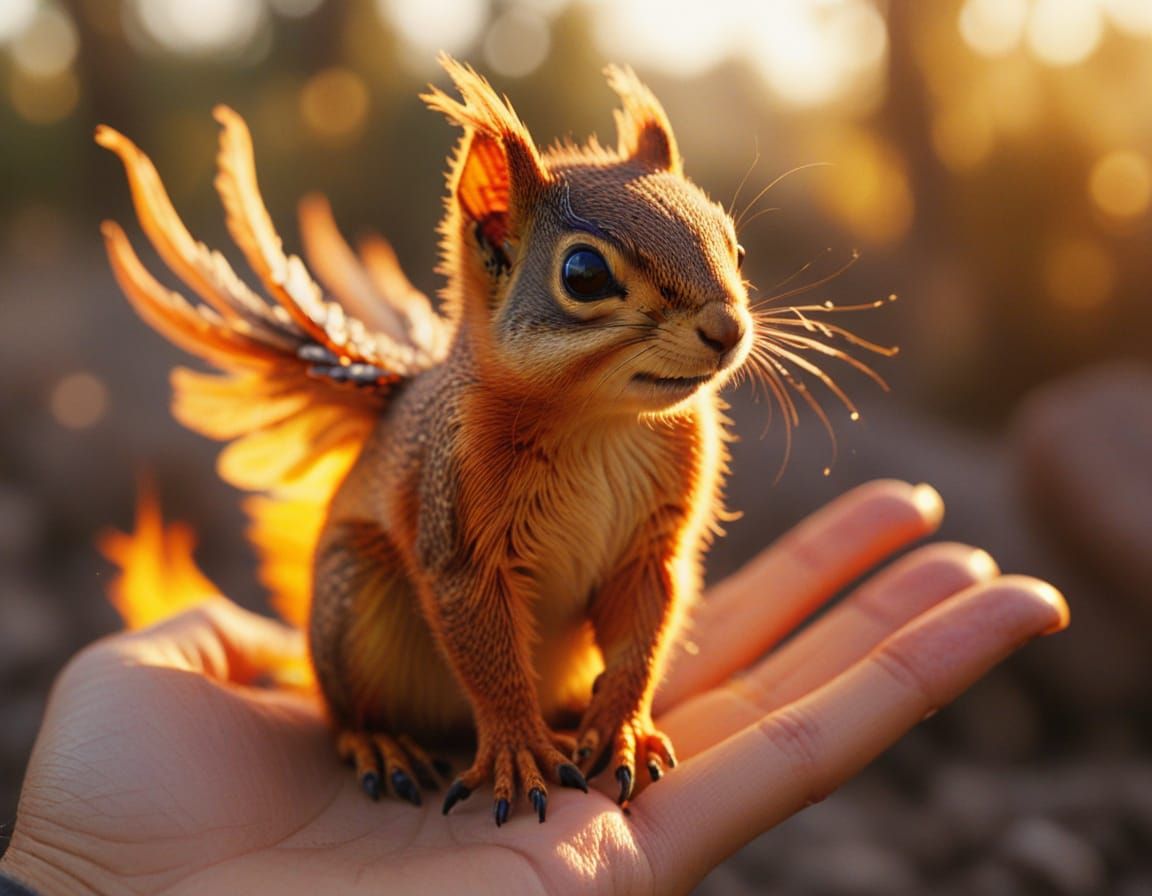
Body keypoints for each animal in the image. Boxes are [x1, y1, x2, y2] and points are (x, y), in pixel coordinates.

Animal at [96, 56, 759, 826]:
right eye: (585, 274)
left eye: (734, 244)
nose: (728, 328)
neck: (603, 419)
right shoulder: (457, 527)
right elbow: (491, 660)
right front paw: (519, 752)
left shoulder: (652, 545)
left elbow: (639, 640)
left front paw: (621, 730)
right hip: (353, 602)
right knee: (347, 715)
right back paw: (383, 745)